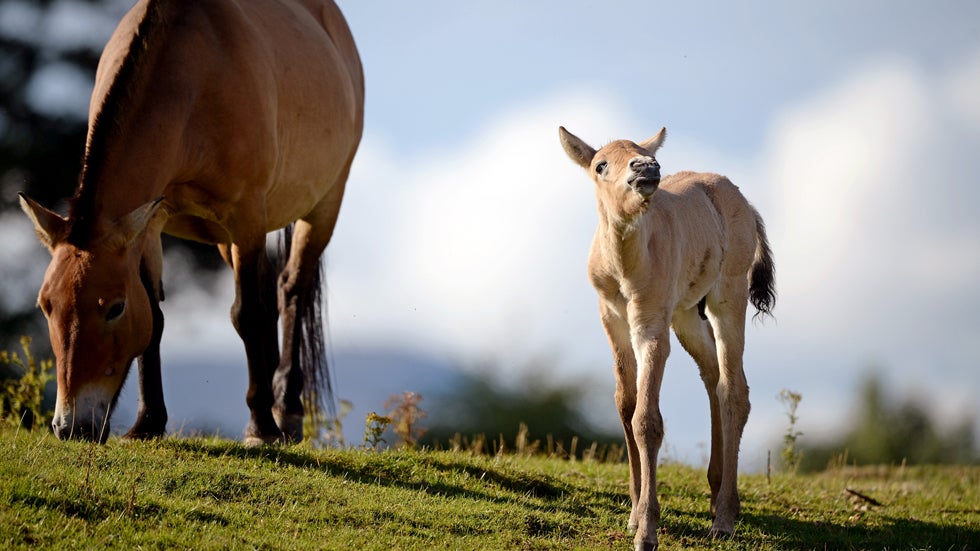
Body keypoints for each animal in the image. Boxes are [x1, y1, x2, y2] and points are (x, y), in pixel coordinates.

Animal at [19, 0, 364, 446]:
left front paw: (260, 427)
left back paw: (285, 412)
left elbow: (246, 314)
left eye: (115, 308)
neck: (194, 76)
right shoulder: (152, 223)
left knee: (292, 289)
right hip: (225, 239)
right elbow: (157, 320)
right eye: (46, 305)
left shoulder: (246, 217)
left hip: (322, 207)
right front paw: (148, 423)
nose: (70, 426)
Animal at [558, 127, 775, 550]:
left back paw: (724, 517)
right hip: (687, 314)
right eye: (600, 165)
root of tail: (745, 202)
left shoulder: (651, 327)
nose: (646, 169)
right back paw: (714, 494)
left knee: (734, 390)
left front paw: (647, 530)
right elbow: (625, 405)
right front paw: (632, 513)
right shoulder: (613, 320)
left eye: (647, 155)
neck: (626, 265)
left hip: (727, 297)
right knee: (713, 375)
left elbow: (647, 420)